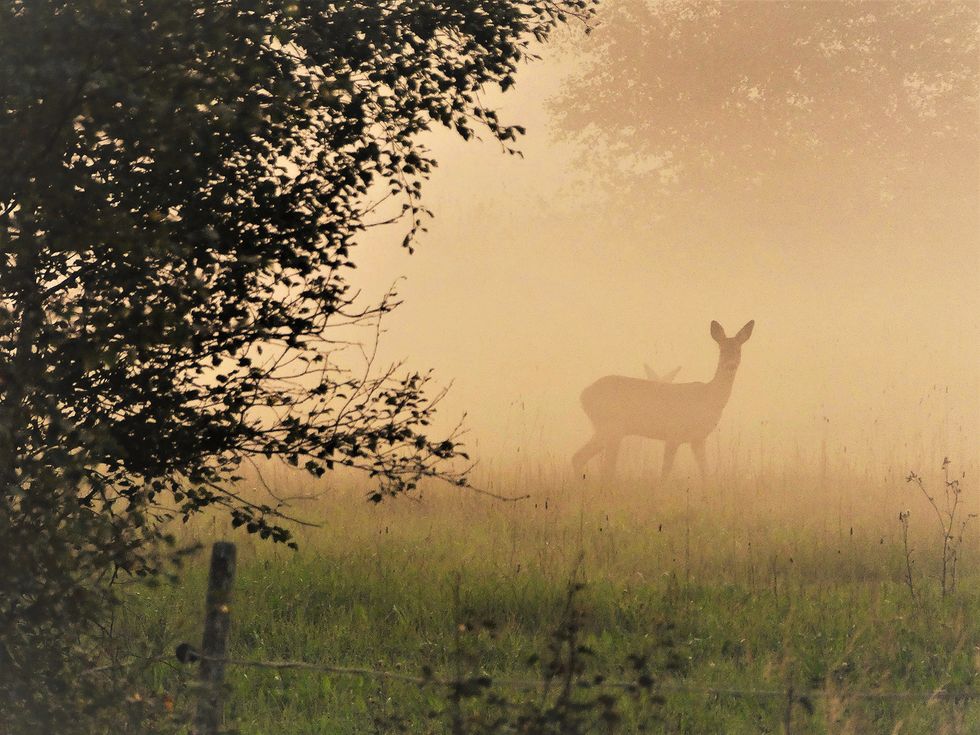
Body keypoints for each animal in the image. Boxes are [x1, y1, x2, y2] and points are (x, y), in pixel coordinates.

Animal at [572, 320, 756, 480]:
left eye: (739, 350)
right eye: (721, 350)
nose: (731, 365)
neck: (710, 397)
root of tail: (583, 395)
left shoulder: (698, 439)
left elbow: (705, 472)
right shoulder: (673, 432)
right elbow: (665, 472)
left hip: (607, 428)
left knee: (579, 458)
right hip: (611, 426)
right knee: (604, 467)